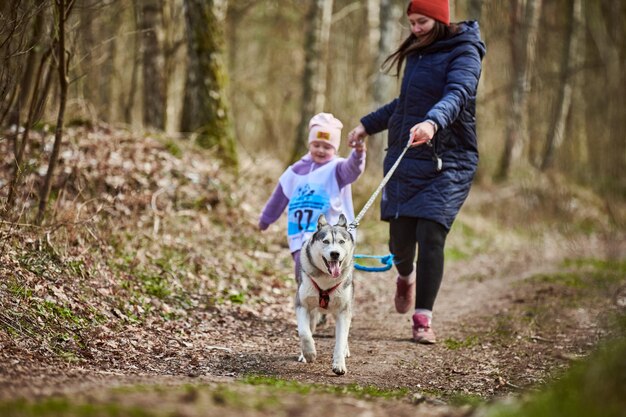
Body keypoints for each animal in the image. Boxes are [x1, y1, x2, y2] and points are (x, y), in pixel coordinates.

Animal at [294, 213, 354, 376]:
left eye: (341, 241)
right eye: (325, 241)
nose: (335, 253)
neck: (326, 280)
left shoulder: (343, 311)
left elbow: (341, 339)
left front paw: (339, 364)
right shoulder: (302, 305)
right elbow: (304, 332)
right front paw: (309, 353)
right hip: (313, 312)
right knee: (309, 328)